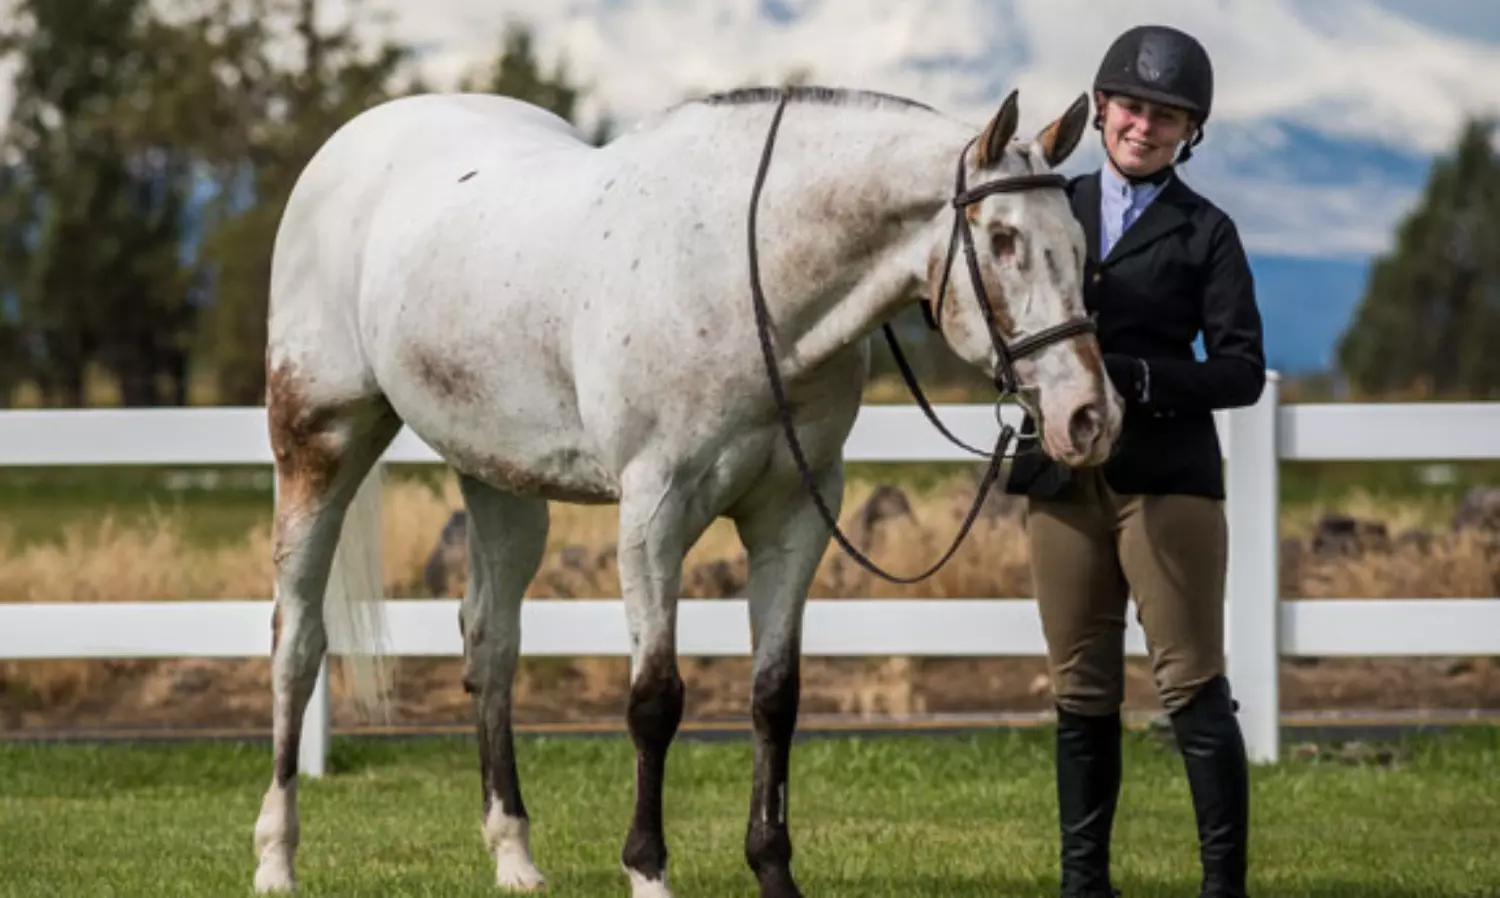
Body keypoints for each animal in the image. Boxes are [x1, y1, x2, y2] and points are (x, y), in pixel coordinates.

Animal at [252, 82, 1123, 897]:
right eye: (1004, 240)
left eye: (1079, 242)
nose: (1089, 415)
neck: (748, 281)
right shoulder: (655, 515)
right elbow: (656, 699)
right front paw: (648, 869)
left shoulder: (795, 516)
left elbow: (775, 695)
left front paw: (773, 870)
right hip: (317, 446)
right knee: (298, 641)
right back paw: (276, 859)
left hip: (499, 481)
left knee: (491, 646)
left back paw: (515, 858)